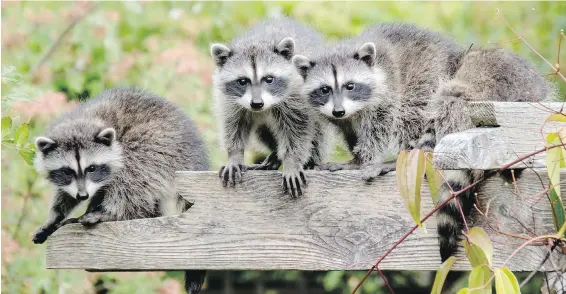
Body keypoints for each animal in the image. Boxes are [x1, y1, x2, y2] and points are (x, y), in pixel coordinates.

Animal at [31, 87, 209, 294]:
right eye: (67, 171)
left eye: (92, 168)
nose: (83, 195)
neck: (85, 120)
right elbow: (66, 194)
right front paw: (55, 215)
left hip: (165, 146)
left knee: (134, 169)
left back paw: (112, 212)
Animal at [212, 18, 328, 198]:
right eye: (242, 81)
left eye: (269, 79)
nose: (256, 103)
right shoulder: (229, 100)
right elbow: (233, 125)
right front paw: (234, 155)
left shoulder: (296, 97)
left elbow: (298, 129)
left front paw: (292, 161)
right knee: (262, 131)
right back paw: (275, 155)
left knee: (317, 132)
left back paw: (311, 159)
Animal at [292, 22, 466, 179]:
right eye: (324, 89)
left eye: (350, 86)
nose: (339, 111)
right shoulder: (341, 117)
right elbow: (349, 131)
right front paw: (356, 153)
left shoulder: (389, 89)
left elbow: (379, 127)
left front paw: (361, 159)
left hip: (427, 78)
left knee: (411, 114)